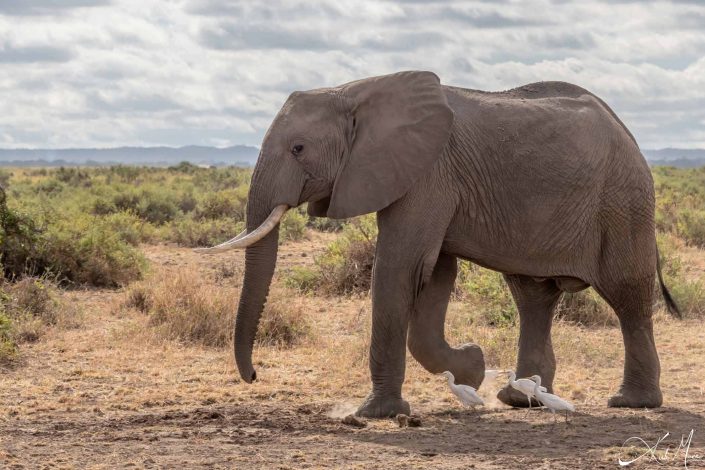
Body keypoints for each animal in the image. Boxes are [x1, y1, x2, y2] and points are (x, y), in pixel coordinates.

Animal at [195, 70, 680, 418]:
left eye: (298, 148)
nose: (254, 375)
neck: (355, 91)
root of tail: (627, 131)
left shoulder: (427, 174)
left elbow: (400, 266)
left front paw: (376, 414)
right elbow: (435, 274)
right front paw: (472, 367)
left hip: (624, 201)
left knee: (627, 295)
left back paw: (631, 403)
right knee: (532, 296)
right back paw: (519, 399)